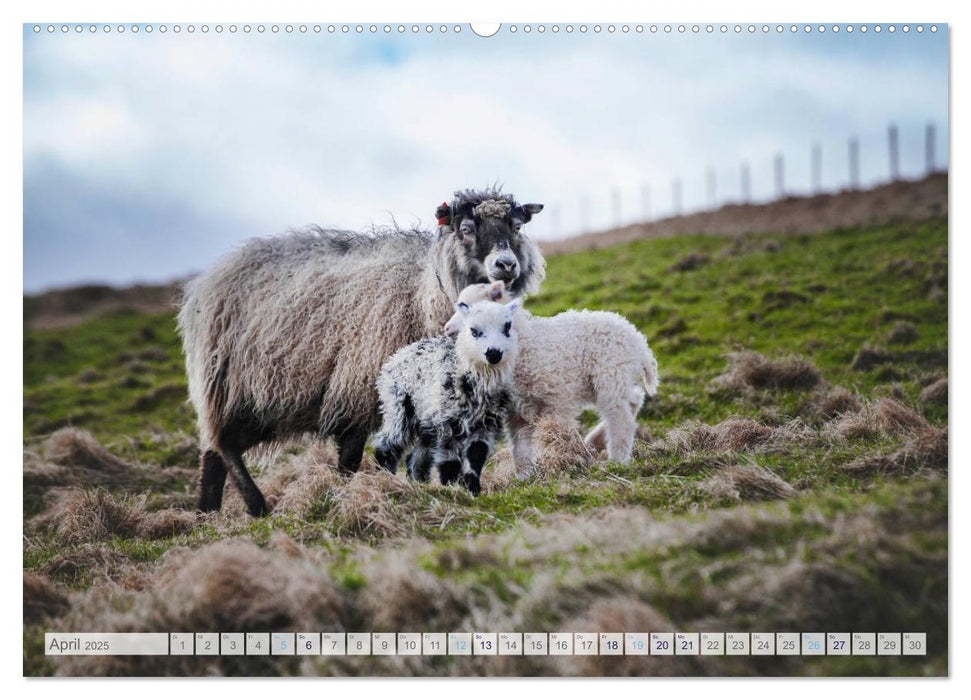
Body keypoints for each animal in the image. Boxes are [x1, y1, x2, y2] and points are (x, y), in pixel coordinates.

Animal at [374, 298, 524, 494]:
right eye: (473, 330)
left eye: (507, 327)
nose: (493, 353)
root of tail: (397, 355)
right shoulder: (447, 420)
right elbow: (449, 459)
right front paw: (452, 487)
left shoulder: (486, 420)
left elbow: (476, 454)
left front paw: (472, 489)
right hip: (399, 405)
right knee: (387, 443)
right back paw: (384, 479)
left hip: (427, 418)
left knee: (417, 456)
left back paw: (418, 483)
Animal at [442, 282, 656, 478]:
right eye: (474, 329)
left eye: (506, 327)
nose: (447, 328)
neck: (526, 342)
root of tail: (638, 339)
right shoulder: (516, 409)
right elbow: (520, 446)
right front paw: (525, 477)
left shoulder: (557, 397)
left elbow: (555, 432)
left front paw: (561, 463)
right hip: (609, 380)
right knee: (634, 399)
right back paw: (595, 442)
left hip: (610, 374)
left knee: (621, 419)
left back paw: (617, 461)